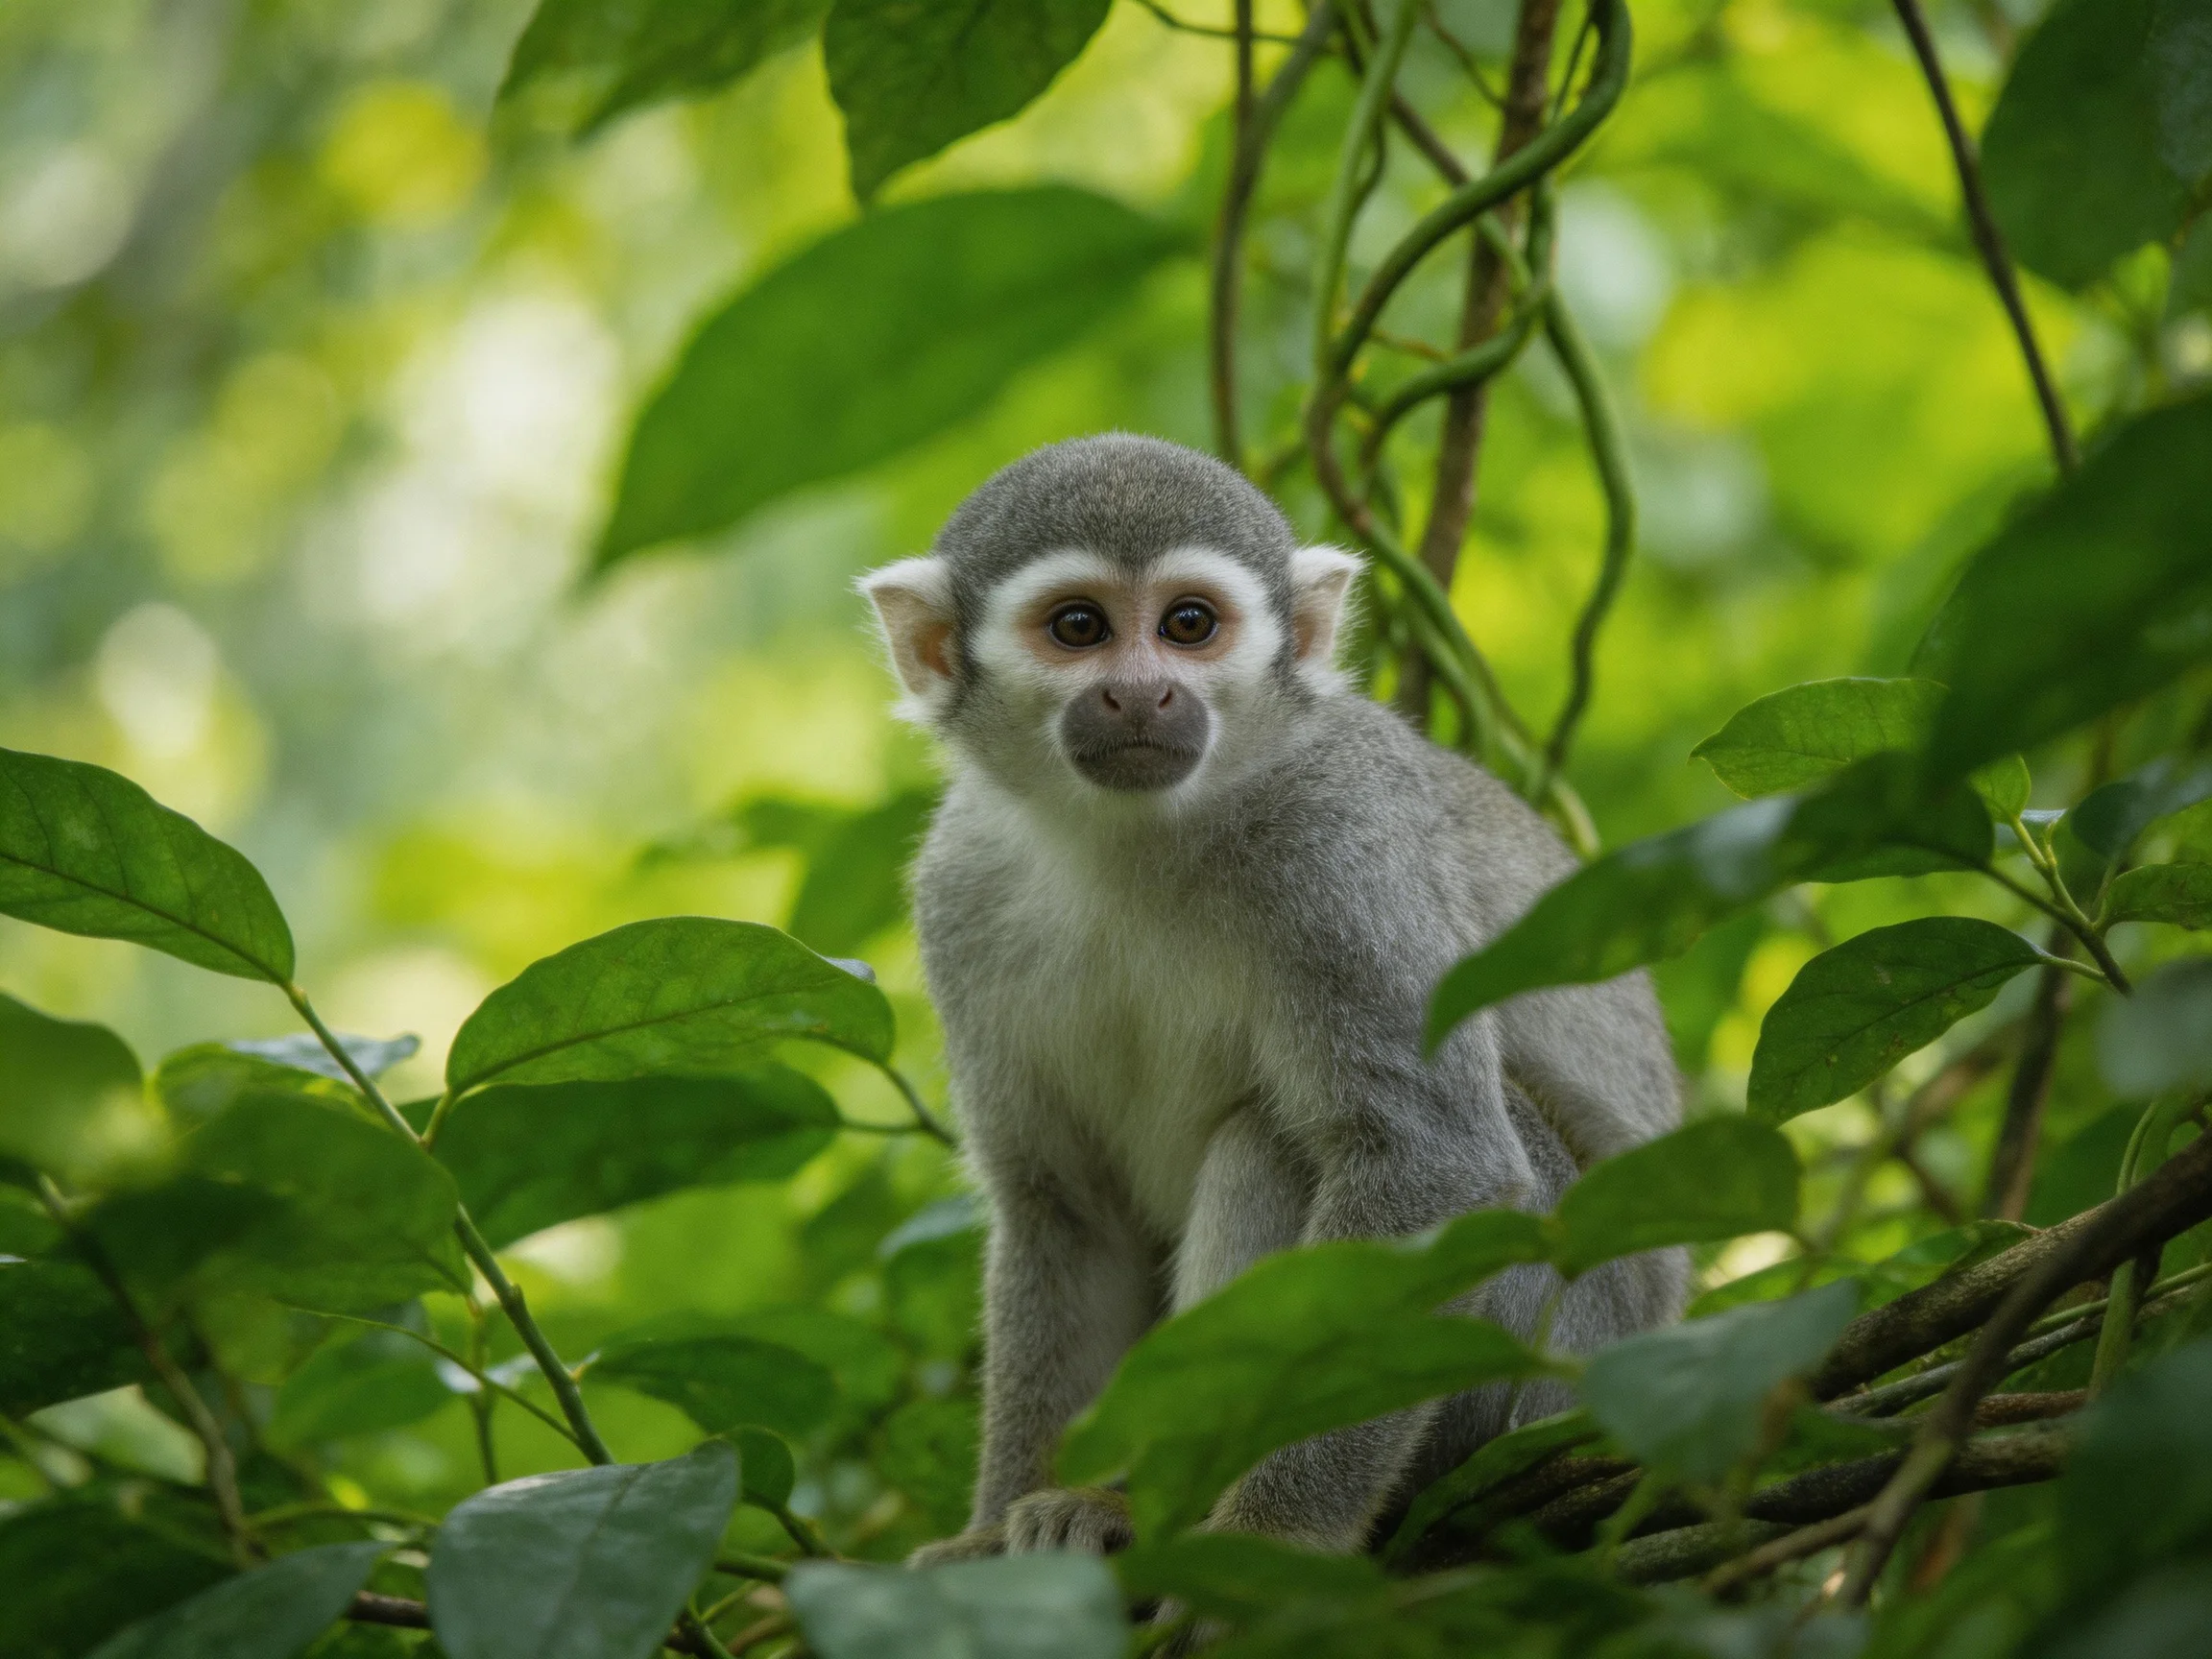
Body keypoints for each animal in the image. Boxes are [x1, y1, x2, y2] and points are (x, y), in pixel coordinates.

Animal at [860, 433, 1685, 1567]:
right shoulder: (959, 890)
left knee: (1275, 1141)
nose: (1141, 696)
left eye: (1188, 626)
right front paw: (989, 1534)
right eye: (1078, 628)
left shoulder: (1339, 845)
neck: (1138, 836)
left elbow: (1437, 1166)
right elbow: (1065, 1210)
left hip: (1541, 1363)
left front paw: (1275, 1537)